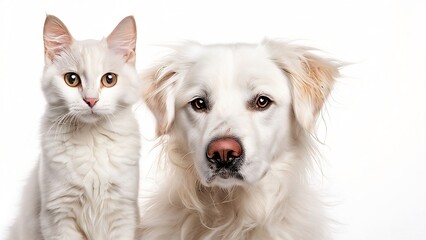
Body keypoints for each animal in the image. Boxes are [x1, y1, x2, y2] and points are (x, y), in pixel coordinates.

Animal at [7, 15, 141, 240]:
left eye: (109, 79)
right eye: (72, 79)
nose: (91, 100)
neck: (92, 139)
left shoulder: (124, 211)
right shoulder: (58, 215)